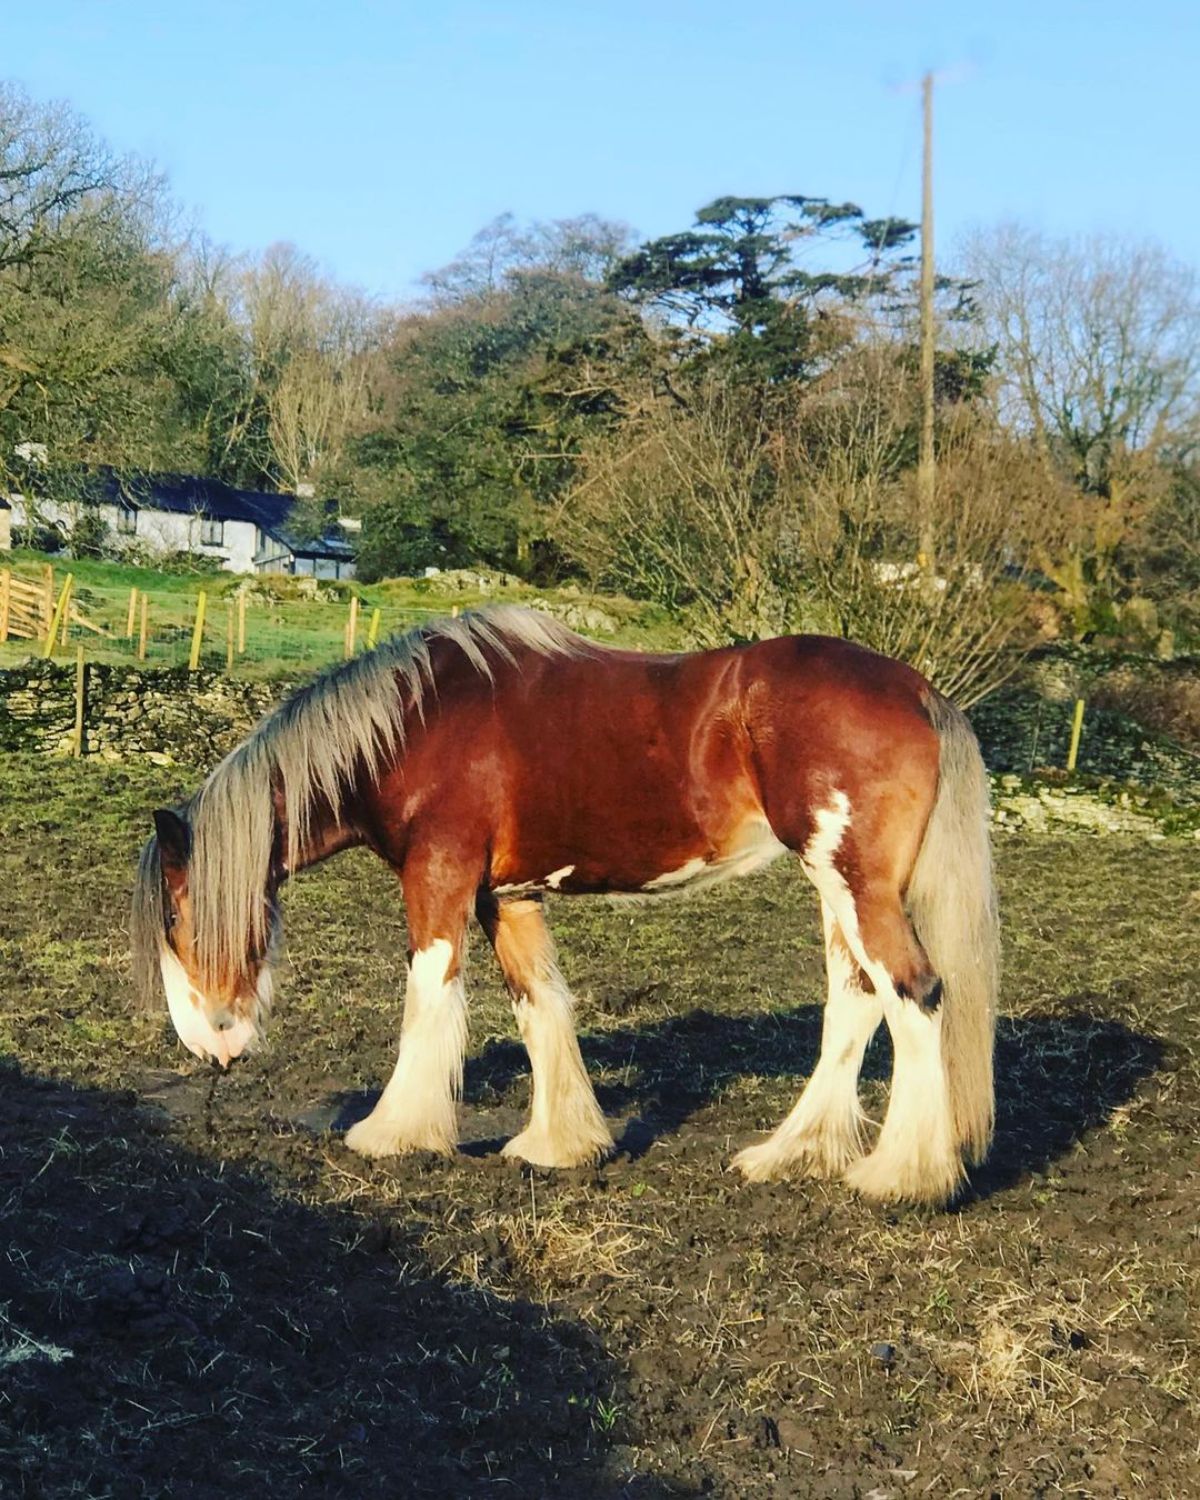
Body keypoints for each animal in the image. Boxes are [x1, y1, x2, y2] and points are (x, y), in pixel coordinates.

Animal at [131, 603, 996, 1200]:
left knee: (913, 994)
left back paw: (904, 1176)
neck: (410, 726)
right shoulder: (505, 897)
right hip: (836, 883)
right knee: (856, 1001)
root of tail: (919, 690)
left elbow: (429, 995)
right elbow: (539, 1004)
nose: (212, 1046)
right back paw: (790, 1154)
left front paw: (394, 1131)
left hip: (852, 880)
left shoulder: (439, 877)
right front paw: (560, 1145)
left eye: (174, 916)